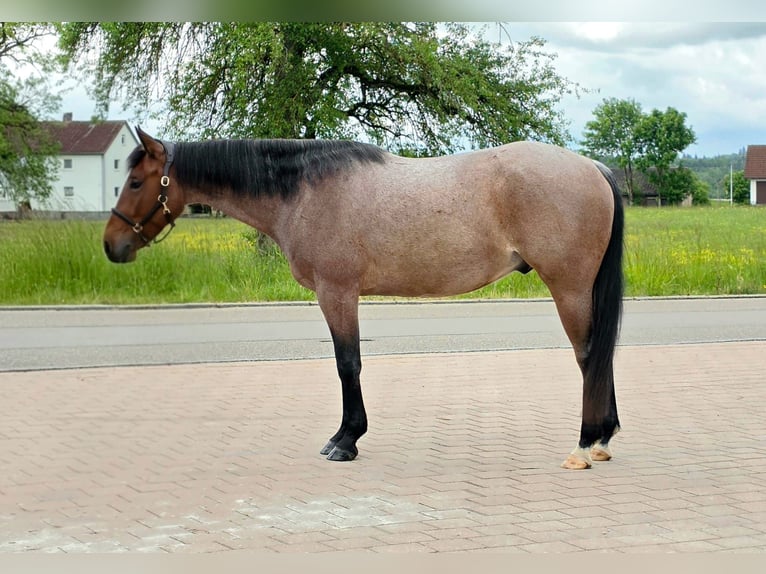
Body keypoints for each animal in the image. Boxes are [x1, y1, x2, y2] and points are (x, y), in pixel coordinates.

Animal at [104, 127, 624, 470]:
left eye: (136, 182)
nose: (112, 245)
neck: (304, 192)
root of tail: (593, 167)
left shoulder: (336, 293)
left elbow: (347, 364)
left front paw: (345, 439)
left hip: (569, 288)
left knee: (588, 356)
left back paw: (584, 445)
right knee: (599, 356)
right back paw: (603, 438)